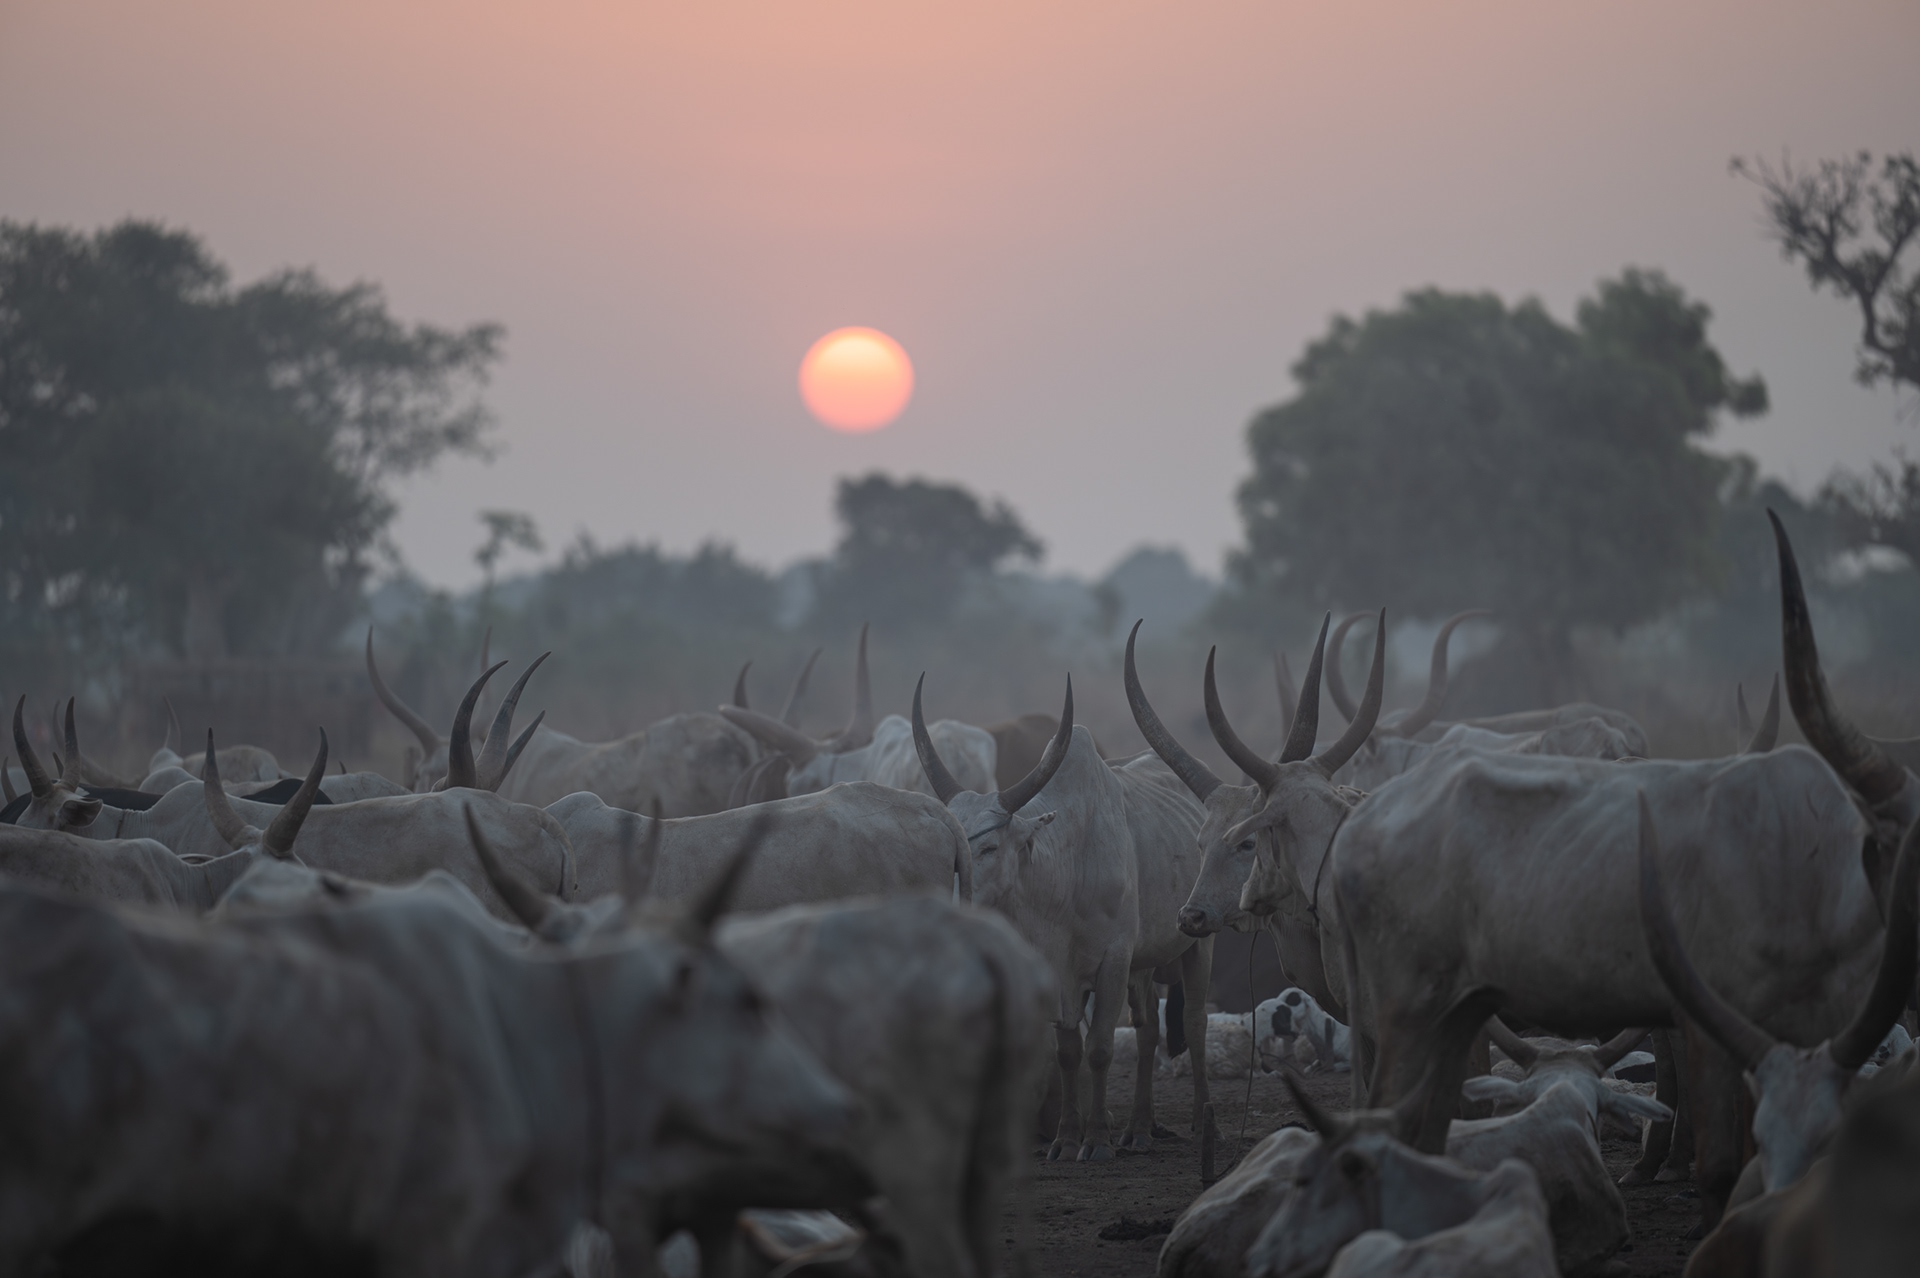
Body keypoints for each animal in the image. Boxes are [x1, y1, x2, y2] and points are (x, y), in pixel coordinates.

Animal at [913, 674, 1212, 1160]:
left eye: (989, 847)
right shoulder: (1060, 972)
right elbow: (1068, 1052)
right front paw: (1067, 1138)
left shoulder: (1112, 962)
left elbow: (1100, 1048)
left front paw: (1096, 1140)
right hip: (1144, 963)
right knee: (1148, 1030)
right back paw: (1139, 1129)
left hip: (1199, 940)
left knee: (1195, 1023)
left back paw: (1204, 1121)